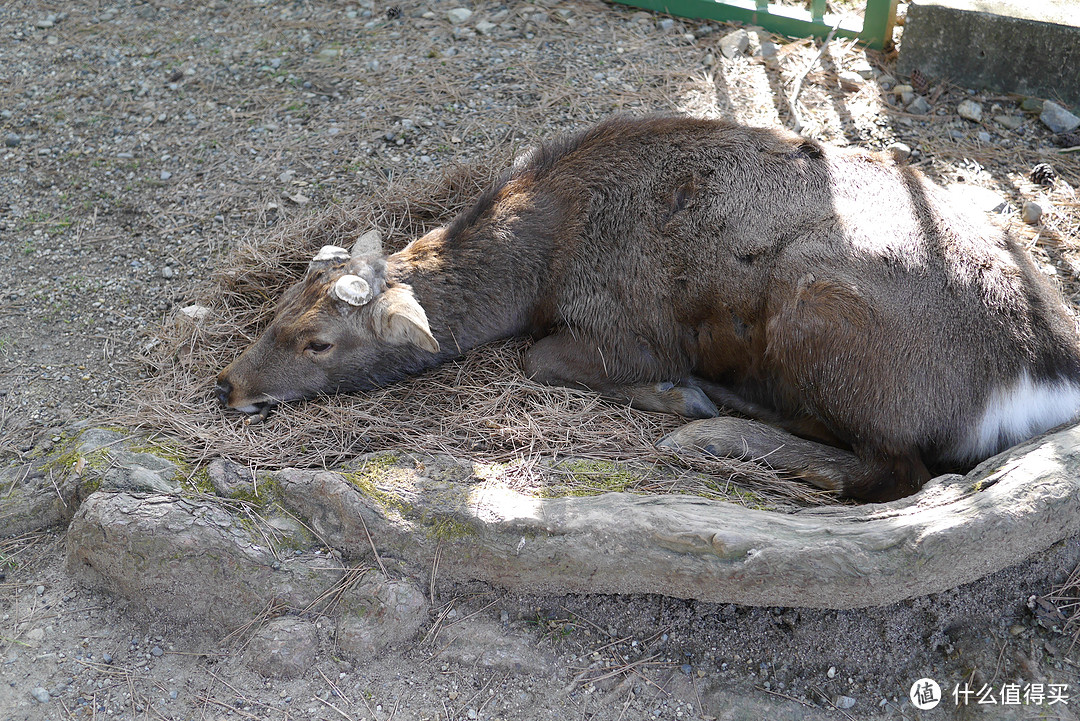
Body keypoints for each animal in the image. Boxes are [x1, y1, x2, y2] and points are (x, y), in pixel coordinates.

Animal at [214, 117, 1080, 500]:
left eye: (319, 341)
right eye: (277, 308)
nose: (227, 385)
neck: (544, 259)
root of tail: (1044, 372)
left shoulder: (619, 330)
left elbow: (541, 358)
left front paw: (674, 390)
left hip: (823, 308)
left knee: (894, 470)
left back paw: (708, 423)